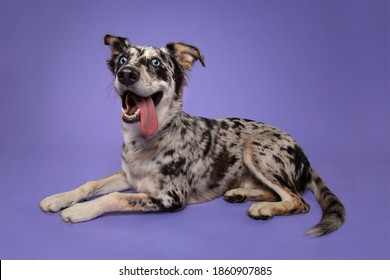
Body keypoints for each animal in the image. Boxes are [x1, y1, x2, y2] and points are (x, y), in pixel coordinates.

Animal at [38, 35, 344, 236]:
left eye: (156, 63)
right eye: (123, 59)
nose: (125, 73)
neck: (146, 140)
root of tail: (305, 154)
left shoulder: (169, 198)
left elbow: (113, 198)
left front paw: (79, 211)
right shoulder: (129, 176)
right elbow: (90, 184)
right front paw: (59, 198)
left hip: (255, 147)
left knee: (298, 200)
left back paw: (263, 209)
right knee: (278, 192)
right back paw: (241, 194)